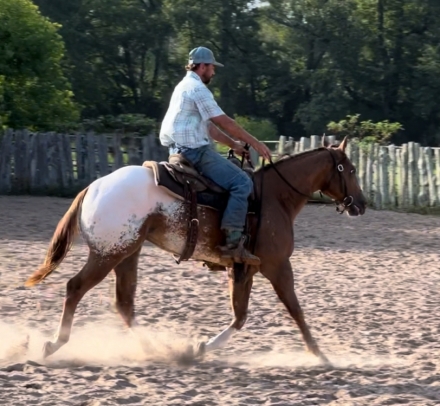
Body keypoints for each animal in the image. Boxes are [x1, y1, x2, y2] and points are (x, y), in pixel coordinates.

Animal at [24, 135, 368, 364]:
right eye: (350, 170)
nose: (361, 204)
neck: (274, 197)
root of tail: (93, 187)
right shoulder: (278, 266)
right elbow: (295, 310)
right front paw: (320, 355)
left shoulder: (243, 269)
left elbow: (240, 316)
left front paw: (200, 348)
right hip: (107, 255)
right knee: (75, 288)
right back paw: (54, 344)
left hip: (127, 253)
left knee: (124, 303)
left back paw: (158, 349)